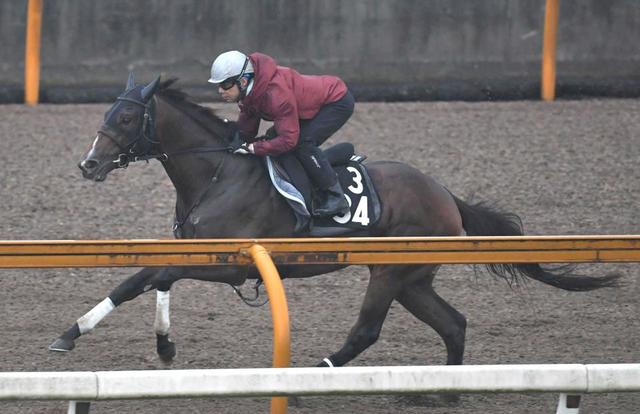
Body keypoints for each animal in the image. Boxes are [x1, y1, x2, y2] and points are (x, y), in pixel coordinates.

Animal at [50, 74, 620, 370]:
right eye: (108, 112)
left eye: (126, 118)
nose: (88, 164)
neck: (216, 172)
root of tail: (444, 193)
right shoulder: (192, 251)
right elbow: (134, 281)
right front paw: (71, 332)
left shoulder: (232, 264)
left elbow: (162, 278)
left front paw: (164, 345)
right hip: (412, 279)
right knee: (453, 324)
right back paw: (444, 392)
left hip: (390, 272)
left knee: (367, 330)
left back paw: (314, 379)